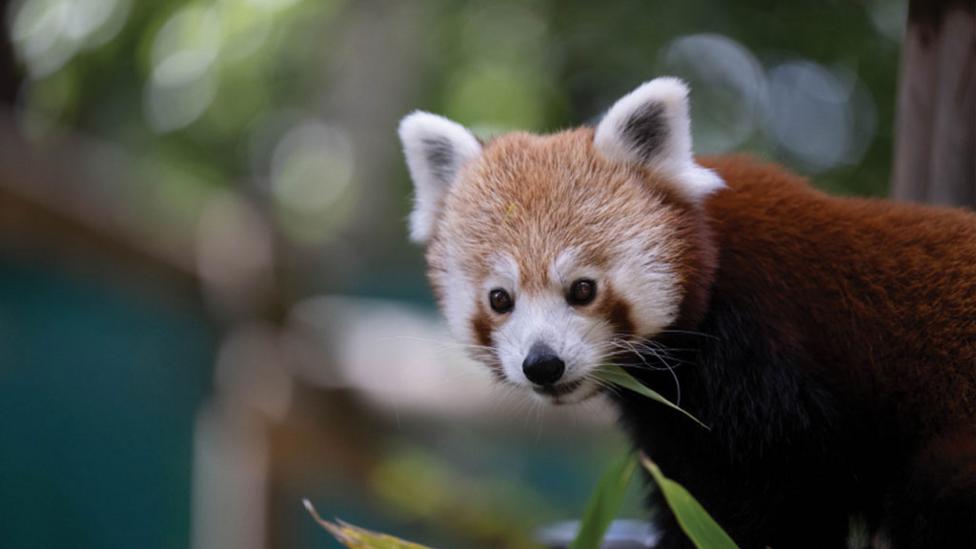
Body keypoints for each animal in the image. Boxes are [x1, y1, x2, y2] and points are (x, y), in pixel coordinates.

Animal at [396, 78, 976, 548]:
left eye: (582, 289)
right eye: (500, 299)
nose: (543, 364)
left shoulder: (772, 366)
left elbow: (778, 506)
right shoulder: (675, 433)